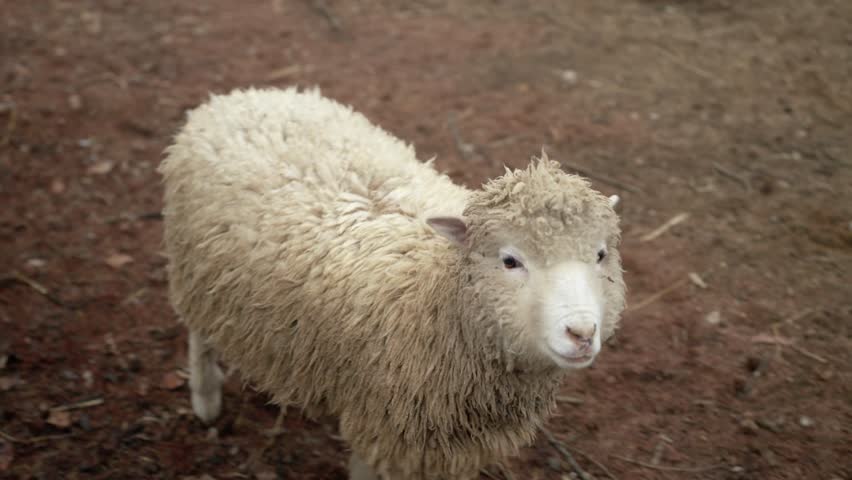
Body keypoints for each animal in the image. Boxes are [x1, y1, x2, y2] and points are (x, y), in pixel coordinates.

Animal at [159, 87, 626, 480]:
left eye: (601, 255)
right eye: (510, 261)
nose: (581, 333)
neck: (434, 294)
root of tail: (242, 98)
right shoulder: (382, 426)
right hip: (198, 272)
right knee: (198, 331)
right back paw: (205, 399)